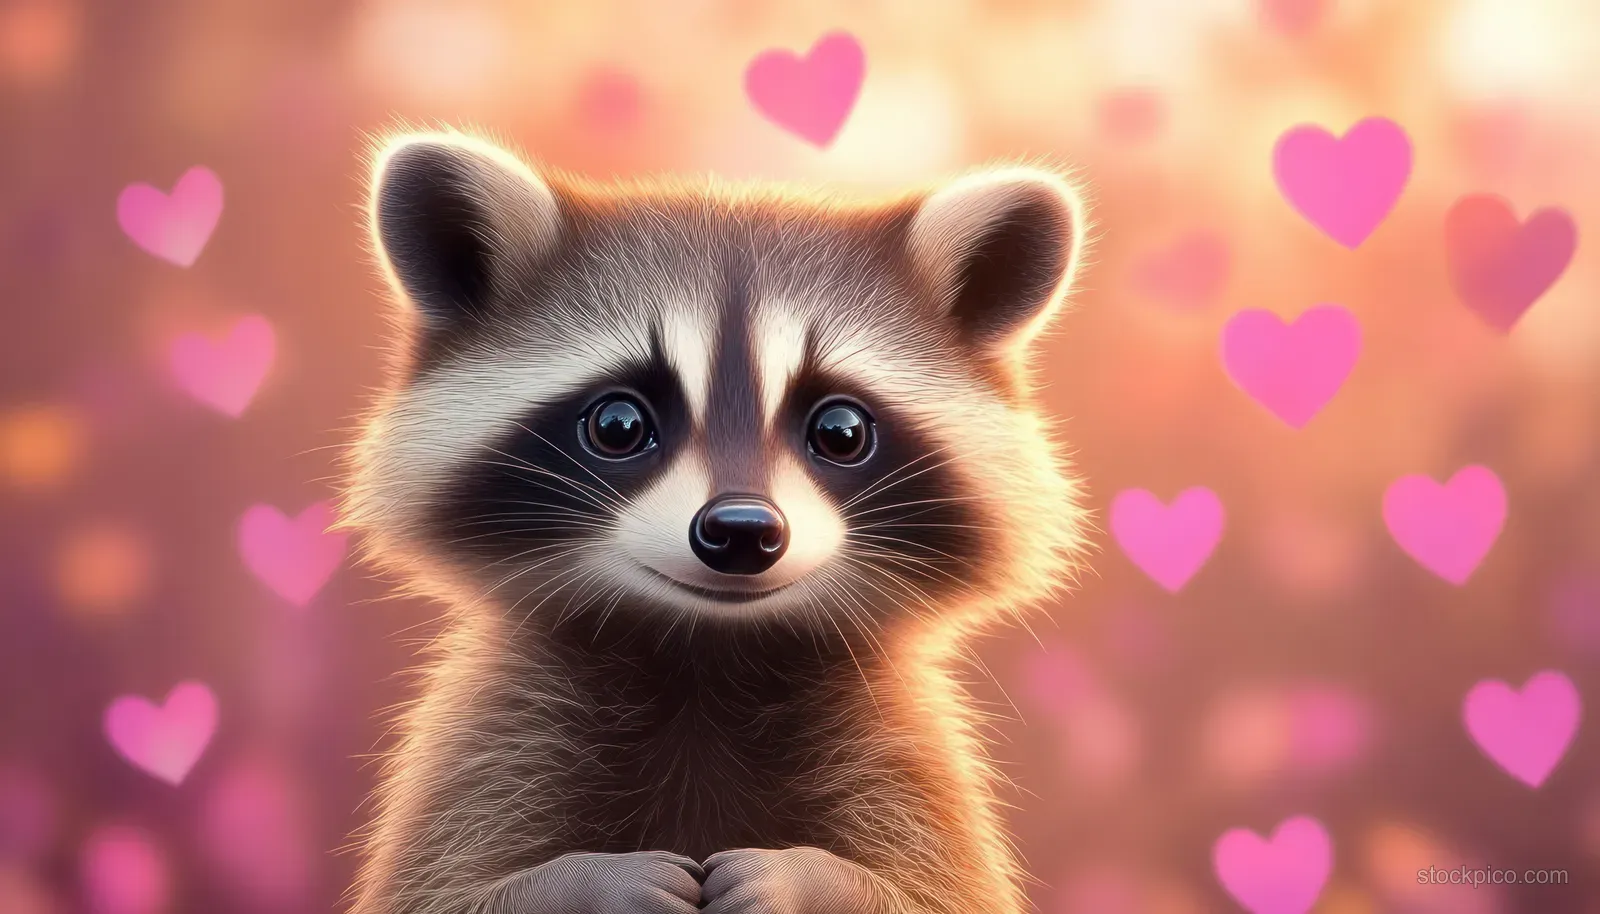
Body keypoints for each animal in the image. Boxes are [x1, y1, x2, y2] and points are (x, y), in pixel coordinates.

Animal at [341, 130, 1090, 914]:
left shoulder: (907, 751)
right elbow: (437, 893)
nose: (740, 530)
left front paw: (805, 875)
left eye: (842, 431)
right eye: (617, 424)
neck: (709, 653)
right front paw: (592, 877)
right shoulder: (493, 737)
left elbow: (940, 894)